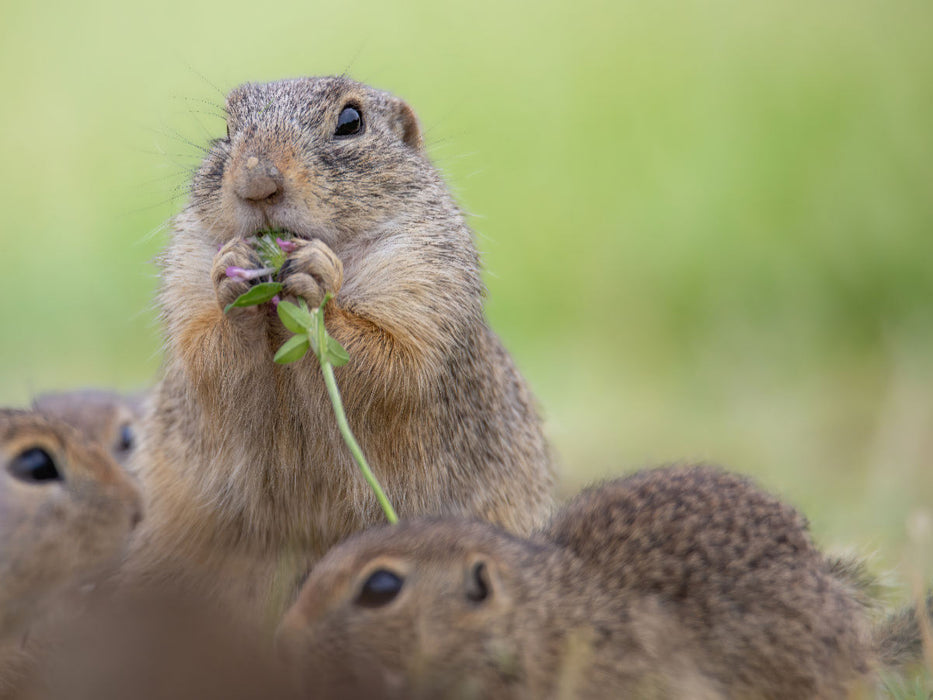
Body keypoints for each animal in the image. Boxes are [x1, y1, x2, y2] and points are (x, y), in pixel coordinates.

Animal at [129, 75, 552, 612]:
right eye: (225, 128)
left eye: (350, 122)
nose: (256, 183)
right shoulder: (186, 275)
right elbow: (204, 355)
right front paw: (233, 274)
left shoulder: (426, 278)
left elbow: (394, 361)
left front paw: (317, 276)